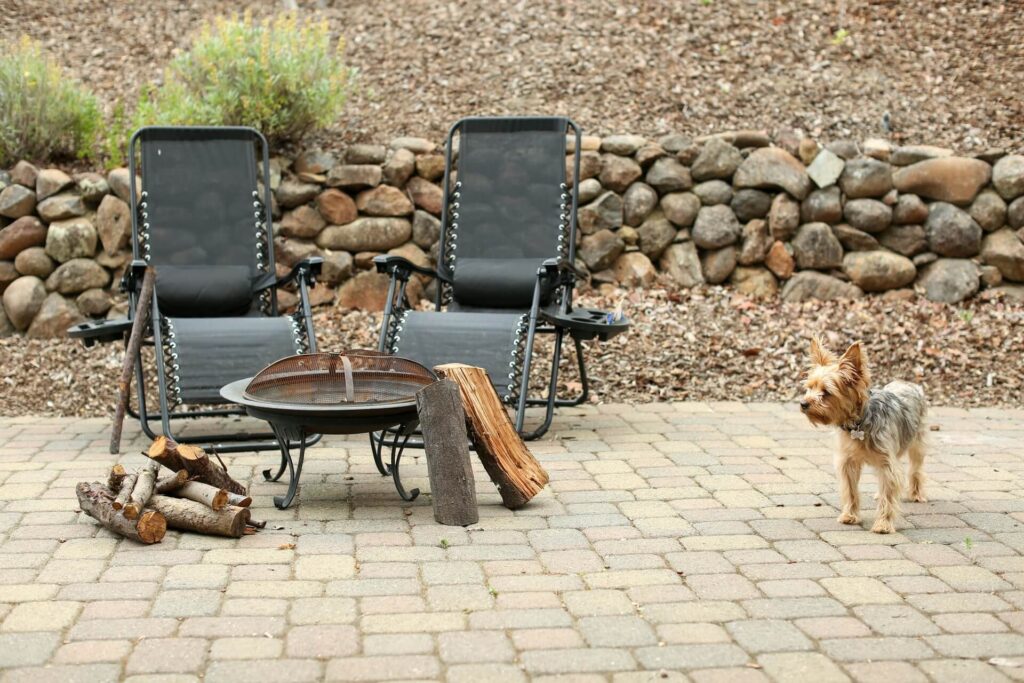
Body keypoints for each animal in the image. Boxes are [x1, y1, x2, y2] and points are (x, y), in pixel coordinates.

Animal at [798, 335, 929, 532]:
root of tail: (907, 383)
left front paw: (883, 524)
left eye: (826, 393)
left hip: (917, 441)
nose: (803, 403)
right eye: (809, 387)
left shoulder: (887, 462)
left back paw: (916, 493)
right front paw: (850, 516)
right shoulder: (848, 462)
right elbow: (851, 490)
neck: (858, 424)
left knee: (916, 468)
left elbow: (889, 492)